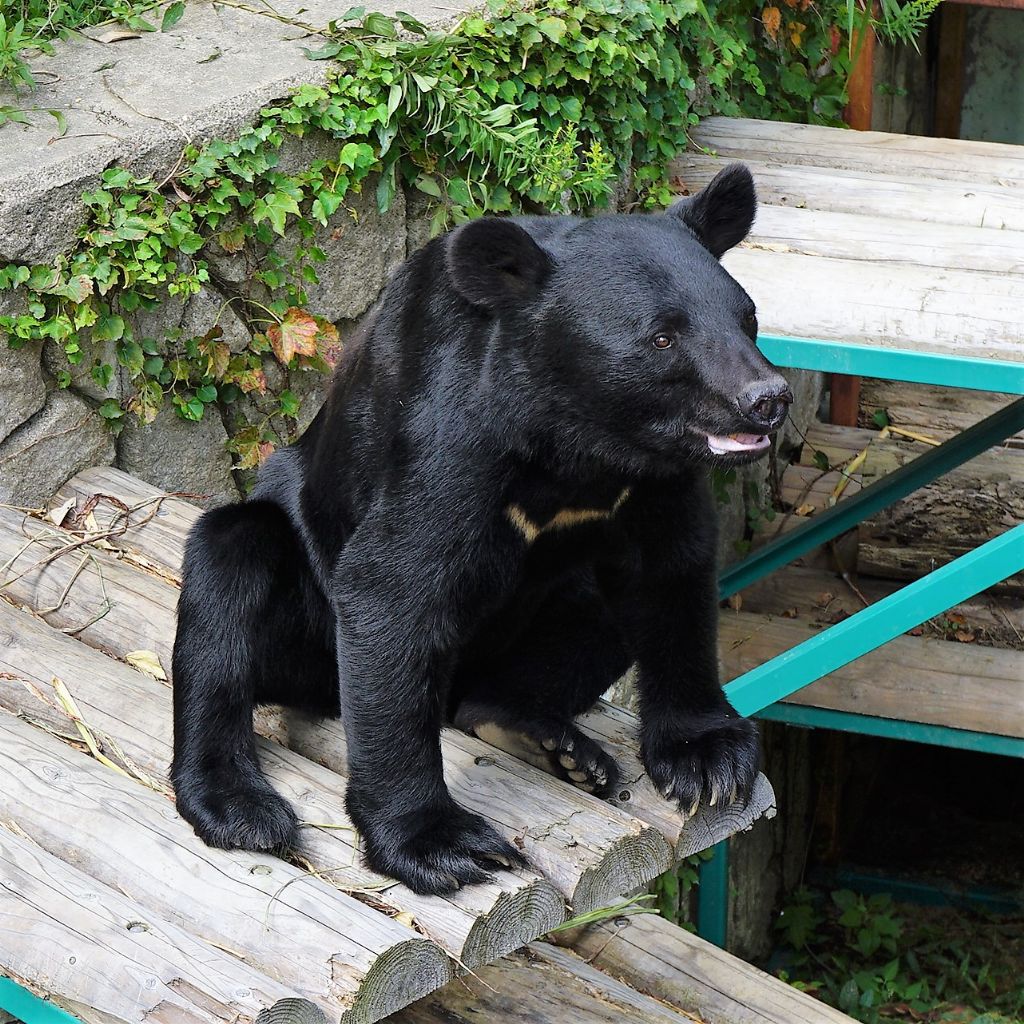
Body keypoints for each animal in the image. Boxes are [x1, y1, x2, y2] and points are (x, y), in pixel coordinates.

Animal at [169, 161, 790, 897]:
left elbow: (672, 571)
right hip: (299, 612)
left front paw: (707, 758)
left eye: (748, 319)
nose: (766, 399)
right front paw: (441, 844)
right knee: (228, 582)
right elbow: (391, 585)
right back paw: (238, 807)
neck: (581, 448)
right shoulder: (452, 431)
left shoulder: (655, 478)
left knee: (578, 627)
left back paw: (545, 740)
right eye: (662, 337)